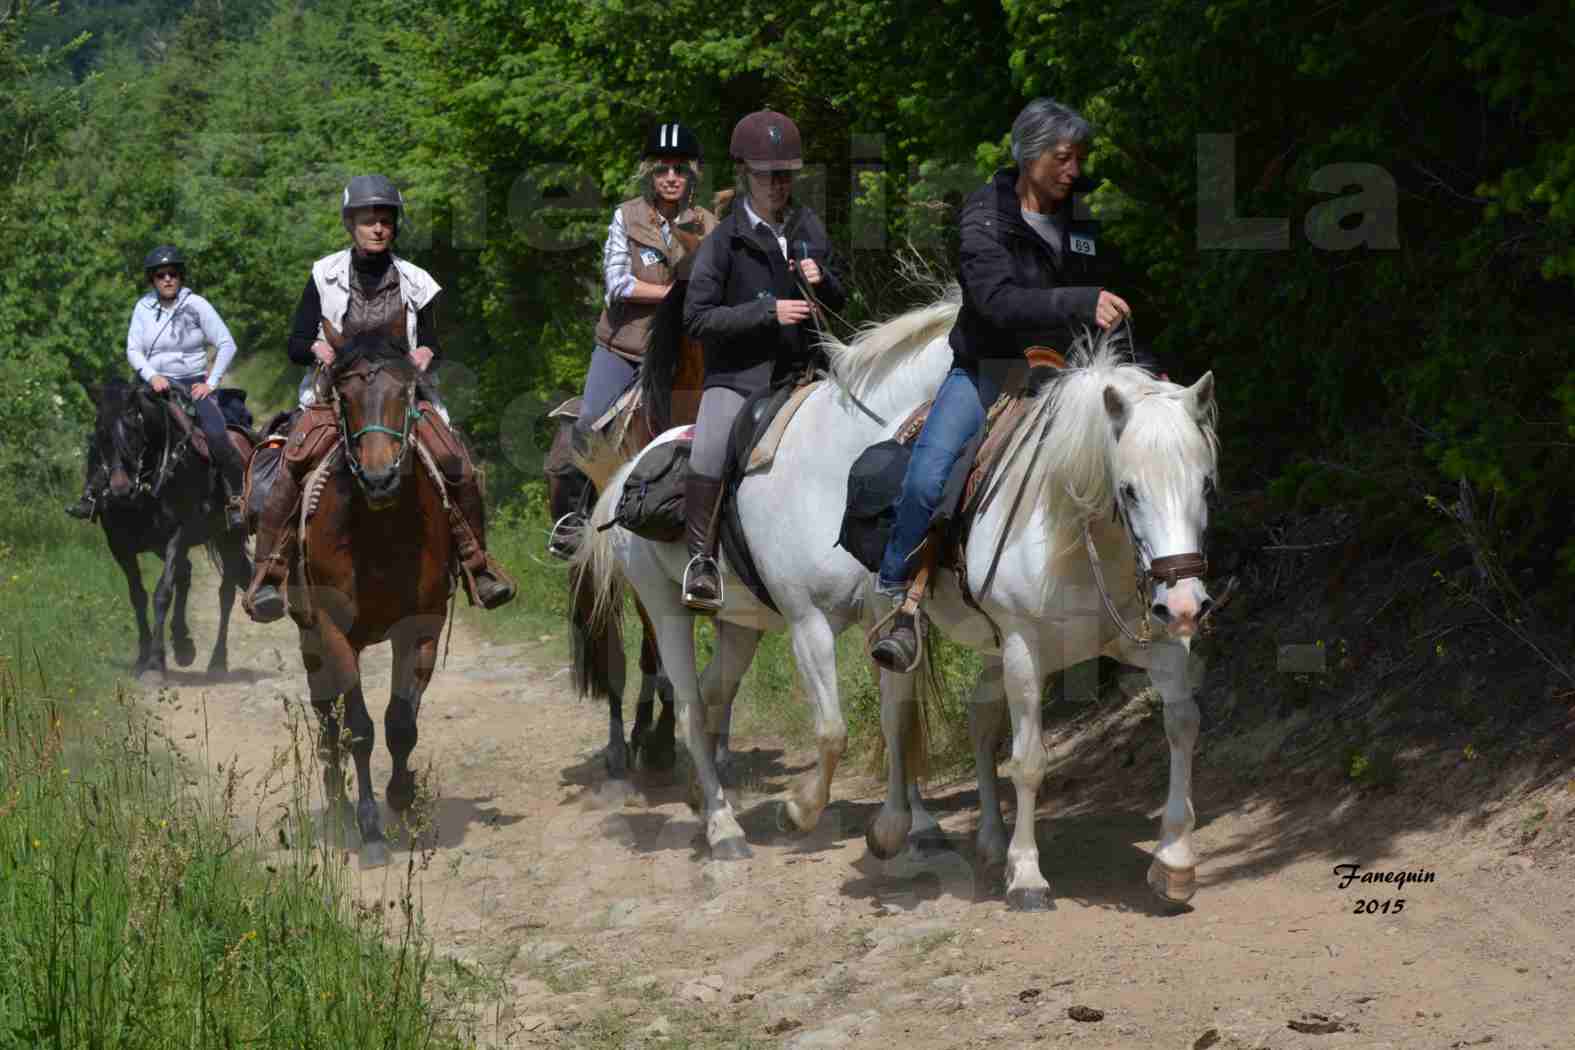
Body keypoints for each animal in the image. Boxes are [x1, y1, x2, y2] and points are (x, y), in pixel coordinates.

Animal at [89, 377, 252, 683]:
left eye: (135, 431)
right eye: (100, 433)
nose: (119, 489)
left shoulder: (178, 535)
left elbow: (162, 593)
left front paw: (155, 665)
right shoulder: (120, 546)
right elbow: (138, 596)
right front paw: (143, 658)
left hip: (230, 537)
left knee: (225, 594)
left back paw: (217, 662)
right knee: (186, 575)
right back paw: (183, 645)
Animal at [294, 338, 456, 868]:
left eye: (405, 394)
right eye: (344, 399)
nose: (380, 478)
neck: (379, 533)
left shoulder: (420, 629)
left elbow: (401, 723)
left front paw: (402, 796)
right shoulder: (332, 632)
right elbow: (359, 730)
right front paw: (368, 828)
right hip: (310, 637)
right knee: (327, 718)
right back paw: (340, 805)